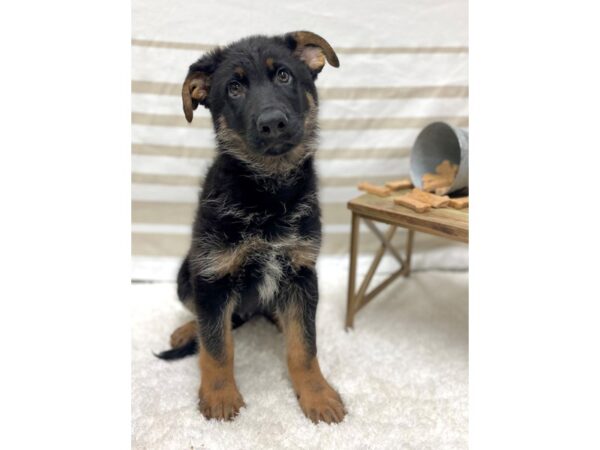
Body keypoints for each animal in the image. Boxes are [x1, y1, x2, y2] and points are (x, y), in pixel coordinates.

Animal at [157, 29, 344, 424]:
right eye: (234, 88)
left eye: (284, 76)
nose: (272, 122)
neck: (268, 192)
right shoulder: (212, 274)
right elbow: (216, 347)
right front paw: (220, 397)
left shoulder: (301, 273)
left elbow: (304, 347)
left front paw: (317, 396)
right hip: (187, 272)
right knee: (204, 317)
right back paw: (188, 331)